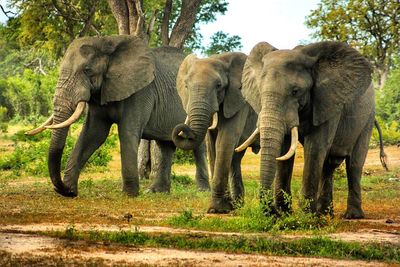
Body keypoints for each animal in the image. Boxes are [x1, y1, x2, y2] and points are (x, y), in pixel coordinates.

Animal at [25, 35, 209, 198]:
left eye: (87, 70)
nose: (63, 189)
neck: (106, 42)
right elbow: (93, 134)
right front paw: (69, 191)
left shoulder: (140, 91)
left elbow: (127, 133)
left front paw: (129, 195)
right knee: (165, 145)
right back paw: (156, 192)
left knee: (195, 143)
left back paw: (201, 190)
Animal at [171, 52, 260, 215]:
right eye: (186, 86)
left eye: (219, 86)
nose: (183, 130)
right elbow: (212, 144)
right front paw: (222, 208)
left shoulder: (239, 100)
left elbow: (224, 139)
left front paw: (217, 209)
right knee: (236, 157)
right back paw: (237, 206)